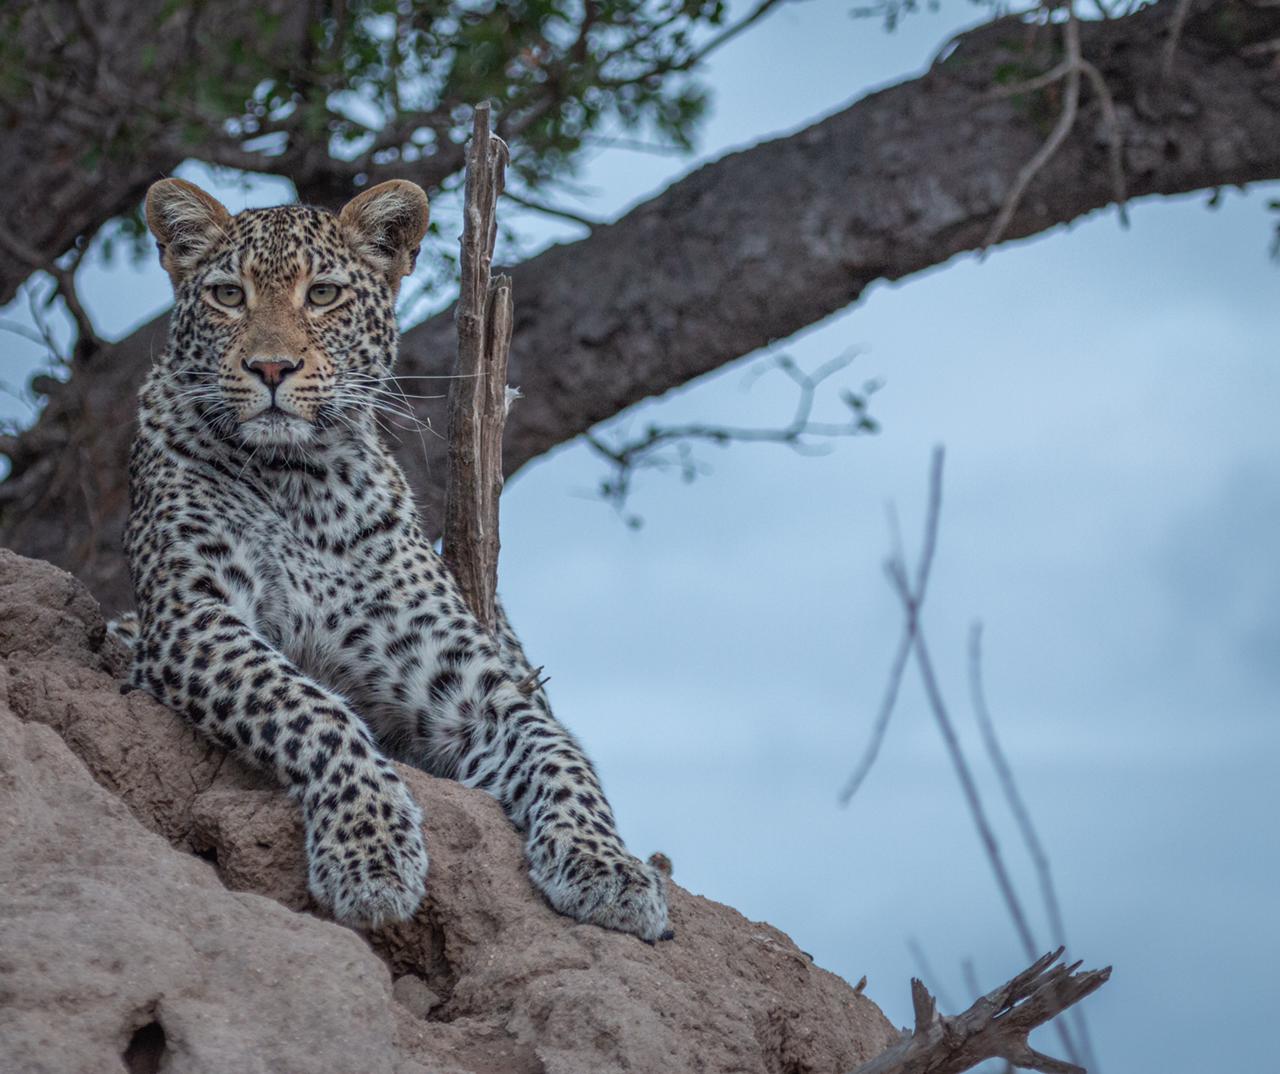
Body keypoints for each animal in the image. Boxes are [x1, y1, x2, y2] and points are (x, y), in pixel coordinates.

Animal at [115, 174, 675, 942]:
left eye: (323, 294)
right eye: (229, 295)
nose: (270, 367)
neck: (299, 479)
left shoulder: (468, 682)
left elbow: (558, 752)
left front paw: (606, 864)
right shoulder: (191, 616)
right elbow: (308, 706)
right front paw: (370, 850)